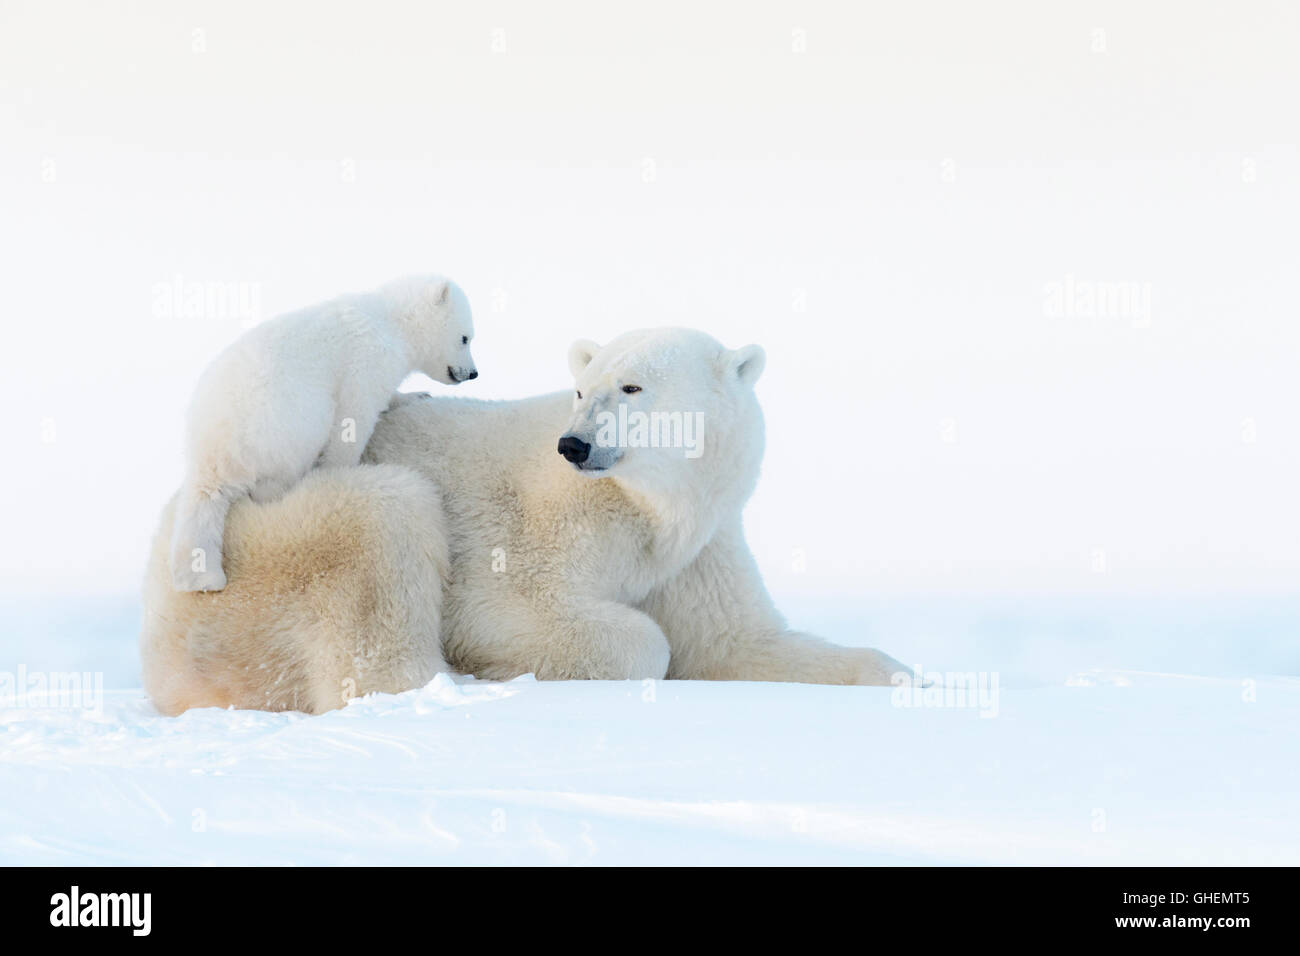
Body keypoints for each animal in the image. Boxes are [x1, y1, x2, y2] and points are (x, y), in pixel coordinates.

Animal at [137, 325, 899, 712]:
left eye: (632, 387)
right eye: (580, 389)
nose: (575, 445)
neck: (648, 507)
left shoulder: (698, 547)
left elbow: (736, 640)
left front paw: (901, 675)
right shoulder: (546, 527)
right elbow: (535, 616)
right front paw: (516, 663)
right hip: (261, 552)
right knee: (386, 524)